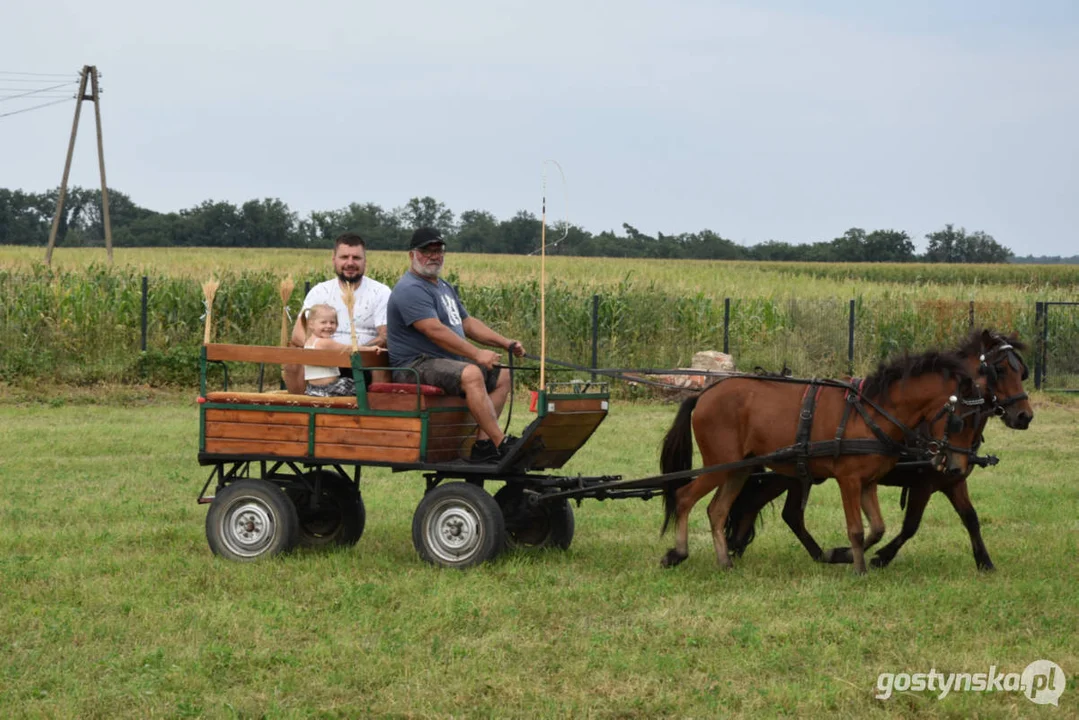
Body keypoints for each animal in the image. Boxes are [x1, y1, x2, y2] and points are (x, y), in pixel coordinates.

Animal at [656, 349, 979, 574]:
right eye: (961, 421)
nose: (957, 468)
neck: (872, 410)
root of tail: (703, 395)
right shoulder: (849, 480)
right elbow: (857, 529)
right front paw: (858, 569)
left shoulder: (868, 482)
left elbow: (877, 528)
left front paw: (843, 555)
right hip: (719, 465)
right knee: (684, 498)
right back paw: (678, 553)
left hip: (739, 469)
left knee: (717, 510)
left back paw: (724, 561)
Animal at [720, 330, 1031, 569]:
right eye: (1000, 369)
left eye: (1022, 372)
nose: (1025, 416)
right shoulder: (924, 482)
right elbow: (911, 525)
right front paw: (880, 557)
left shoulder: (952, 480)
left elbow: (971, 518)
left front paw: (984, 561)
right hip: (787, 472)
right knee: (772, 507)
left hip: (795, 474)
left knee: (774, 509)